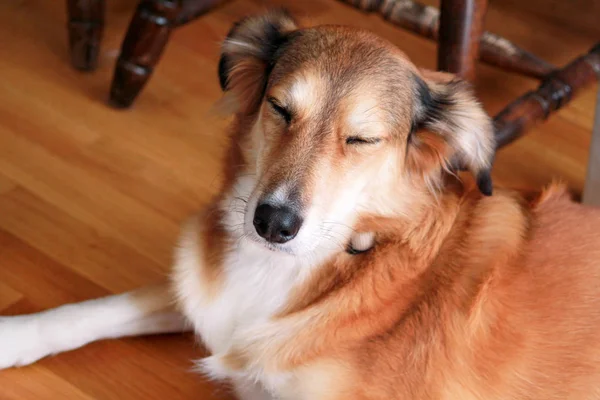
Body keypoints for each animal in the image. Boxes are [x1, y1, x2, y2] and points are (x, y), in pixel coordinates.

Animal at [1, 9, 600, 400]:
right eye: (280, 108)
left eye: (361, 140)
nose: (273, 223)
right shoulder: (210, 293)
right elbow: (101, 307)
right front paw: (14, 336)